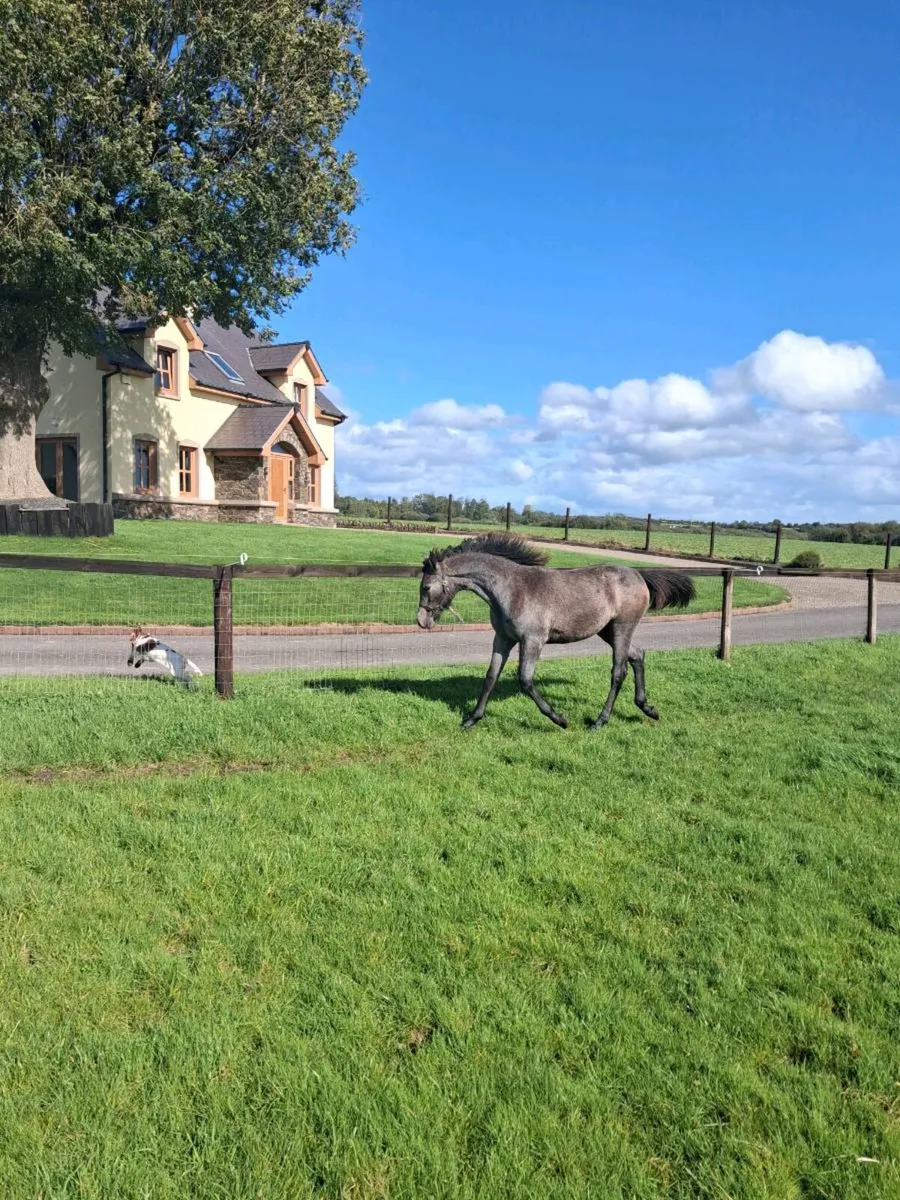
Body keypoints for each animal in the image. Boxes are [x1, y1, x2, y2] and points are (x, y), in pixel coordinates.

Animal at [416, 533, 695, 731]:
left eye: (426, 587)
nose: (421, 621)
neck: (511, 589)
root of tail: (639, 574)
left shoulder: (533, 640)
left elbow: (525, 680)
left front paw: (560, 719)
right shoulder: (503, 639)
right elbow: (490, 677)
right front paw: (471, 720)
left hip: (622, 628)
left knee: (619, 671)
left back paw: (599, 722)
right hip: (607, 631)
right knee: (638, 655)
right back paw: (648, 708)